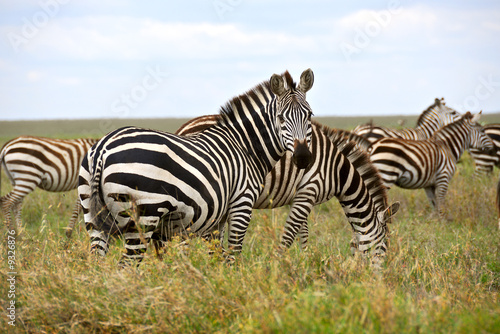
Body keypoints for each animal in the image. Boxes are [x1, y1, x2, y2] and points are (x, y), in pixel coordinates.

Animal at [77, 69, 312, 264]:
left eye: (309, 115)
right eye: (280, 118)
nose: (302, 157)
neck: (244, 146)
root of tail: (103, 148)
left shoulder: (219, 214)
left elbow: (217, 252)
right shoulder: (242, 202)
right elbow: (233, 253)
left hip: (91, 214)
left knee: (97, 261)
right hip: (143, 215)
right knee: (128, 264)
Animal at [176, 117, 398, 264]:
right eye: (383, 248)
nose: (378, 282)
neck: (337, 170)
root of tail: (184, 127)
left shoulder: (301, 195)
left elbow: (303, 232)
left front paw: (305, 259)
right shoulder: (310, 188)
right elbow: (291, 233)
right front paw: (279, 266)